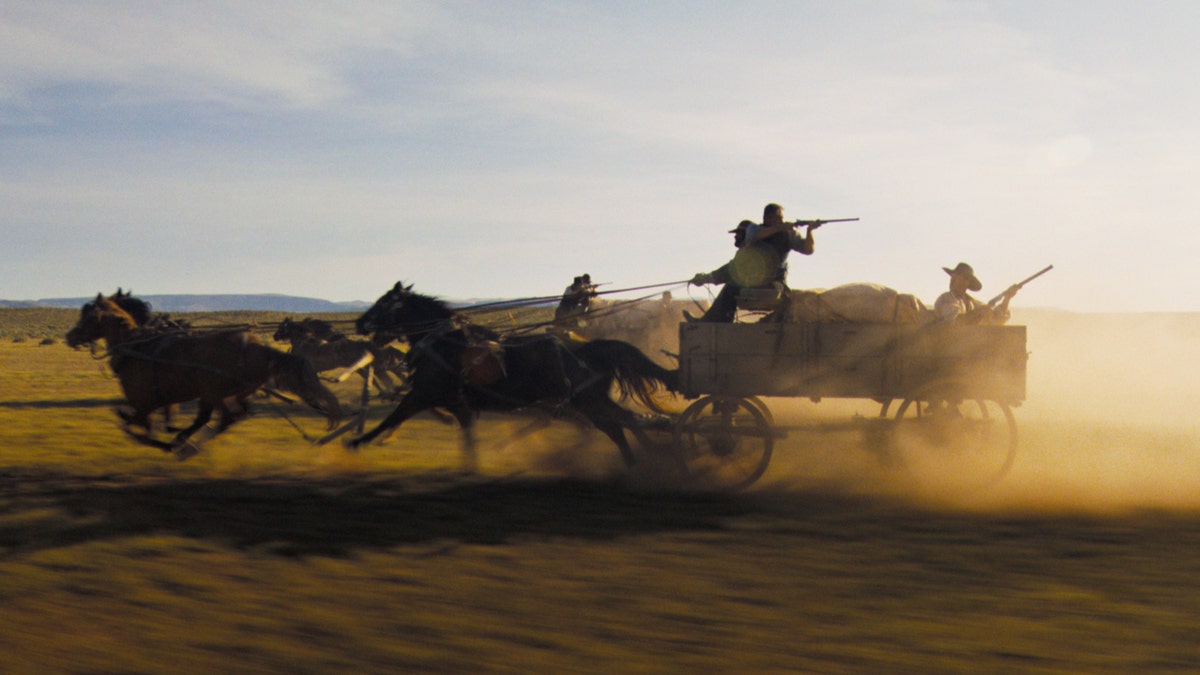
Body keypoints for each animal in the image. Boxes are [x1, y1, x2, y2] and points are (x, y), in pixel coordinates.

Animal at [66, 293, 343, 454]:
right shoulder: (156, 405)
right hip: (227, 392)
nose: (69, 336)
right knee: (229, 416)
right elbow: (145, 425)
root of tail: (258, 345)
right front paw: (170, 436)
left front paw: (165, 443)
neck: (136, 346)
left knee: (220, 417)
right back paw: (190, 441)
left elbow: (132, 426)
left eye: (87, 315)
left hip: (213, 391)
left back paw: (186, 442)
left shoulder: (144, 404)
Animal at [348, 281, 681, 470]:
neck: (444, 342)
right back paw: (647, 459)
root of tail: (586, 348)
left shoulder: (423, 394)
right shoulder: (456, 404)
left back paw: (641, 463)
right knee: (625, 420)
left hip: (587, 402)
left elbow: (393, 417)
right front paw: (471, 468)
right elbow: (467, 438)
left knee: (618, 425)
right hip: (588, 401)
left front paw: (355, 443)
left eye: (383, 303)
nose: (359, 323)